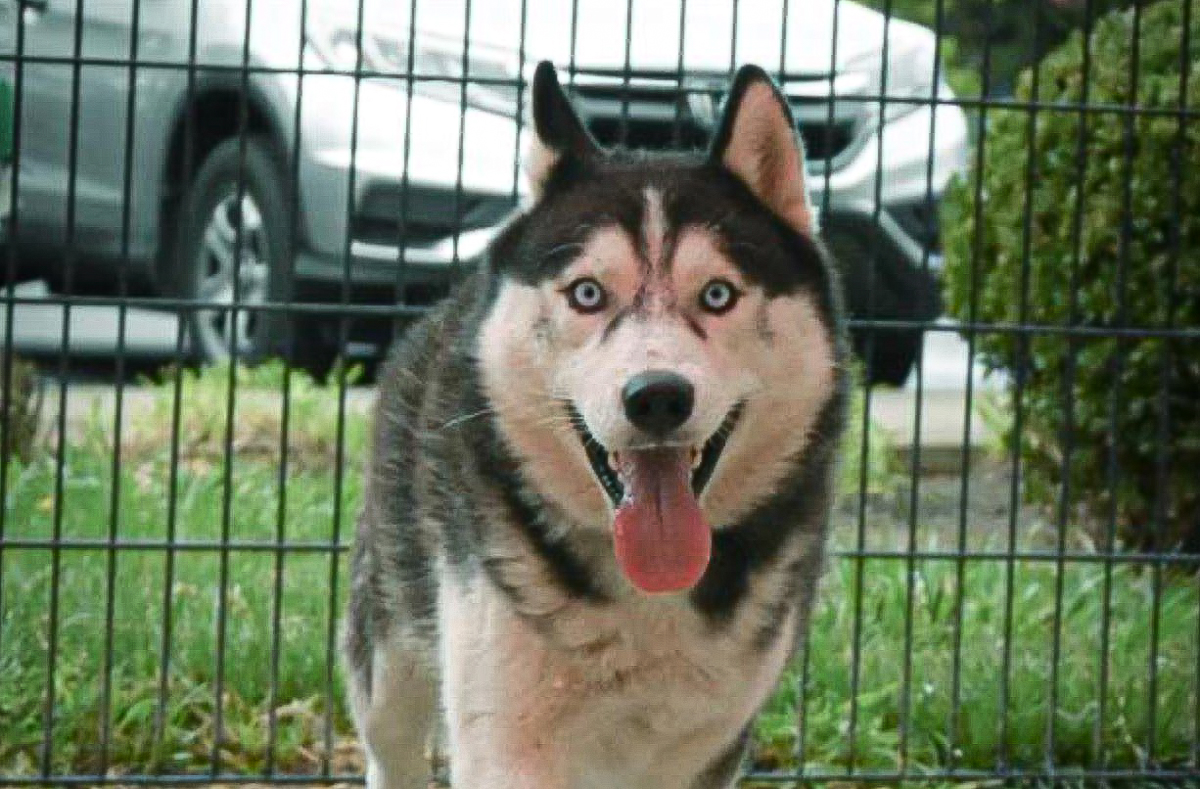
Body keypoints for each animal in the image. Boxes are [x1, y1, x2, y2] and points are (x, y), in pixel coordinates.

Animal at [345, 62, 854, 786]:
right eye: (587, 293)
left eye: (718, 294)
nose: (658, 397)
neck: (648, 591)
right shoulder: (506, 735)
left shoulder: (707, 748)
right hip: (389, 649)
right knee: (390, 742)